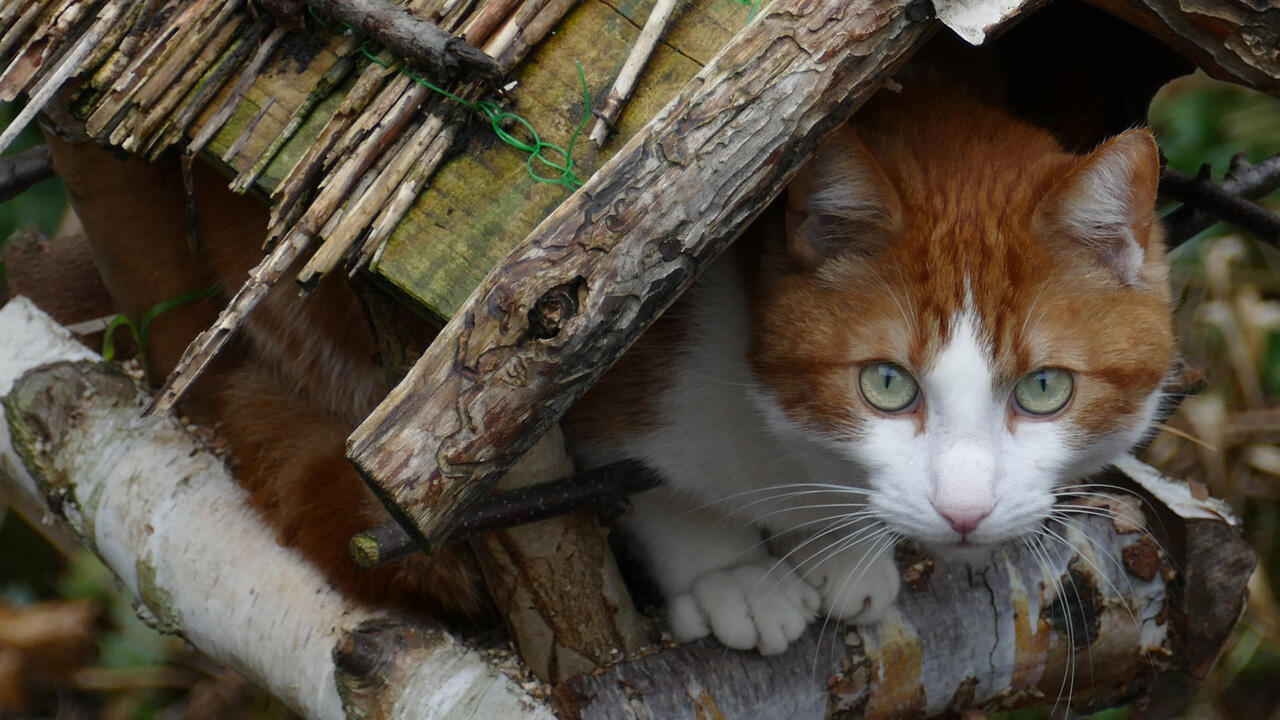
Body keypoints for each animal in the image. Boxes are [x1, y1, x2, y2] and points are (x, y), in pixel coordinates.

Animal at [565, 57, 1172, 650]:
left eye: (1044, 388)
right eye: (886, 383)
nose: (964, 513)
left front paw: (837, 549)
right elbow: (660, 498)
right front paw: (733, 574)